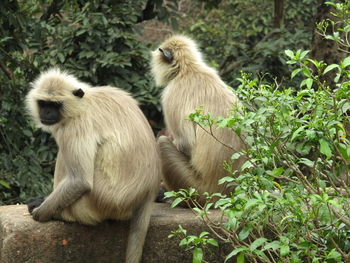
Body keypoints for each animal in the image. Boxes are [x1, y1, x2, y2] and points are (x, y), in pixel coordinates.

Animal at [25, 68, 161, 263]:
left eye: (56, 105)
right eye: (43, 103)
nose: (48, 113)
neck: (83, 103)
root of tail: (148, 192)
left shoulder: (75, 125)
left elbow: (80, 181)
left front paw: (40, 212)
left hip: (99, 203)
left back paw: (60, 214)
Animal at [150, 34, 246, 204]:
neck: (189, 69)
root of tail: (224, 192)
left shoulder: (171, 94)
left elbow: (185, 143)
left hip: (194, 188)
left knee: (162, 143)